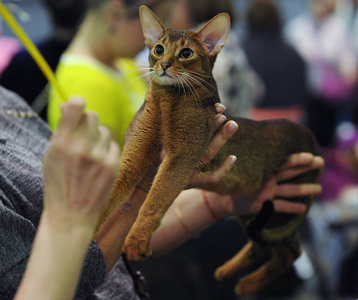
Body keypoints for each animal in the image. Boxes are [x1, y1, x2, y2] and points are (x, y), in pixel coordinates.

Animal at [96, 5, 324, 296]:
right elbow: (109, 197)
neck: (166, 102)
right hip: (255, 208)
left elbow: (153, 201)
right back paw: (229, 272)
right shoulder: (134, 155)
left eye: (186, 53)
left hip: (283, 207)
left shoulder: (181, 157)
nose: (164, 64)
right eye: (158, 48)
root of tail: (310, 136)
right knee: (266, 246)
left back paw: (247, 285)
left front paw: (136, 242)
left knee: (291, 251)